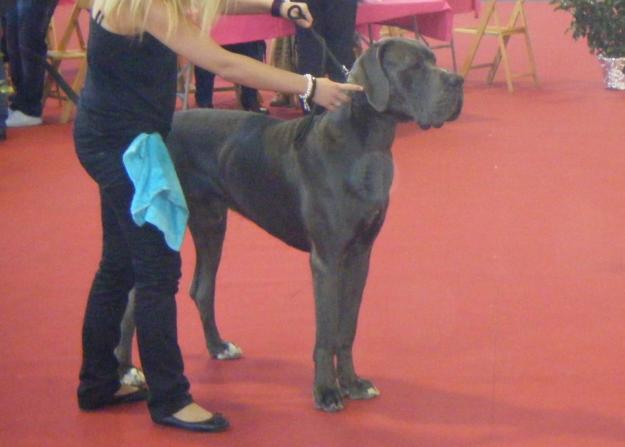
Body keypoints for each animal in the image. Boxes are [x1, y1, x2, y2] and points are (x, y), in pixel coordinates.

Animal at [114, 38, 460, 412]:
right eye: (413, 66)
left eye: (434, 59)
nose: (457, 81)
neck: (366, 143)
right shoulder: (326, 260)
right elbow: (326, 331)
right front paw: (326, 391)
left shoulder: (360, 255)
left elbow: (347, 327)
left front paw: (352, 383)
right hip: (163, 227)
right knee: (135, 297)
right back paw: (127, 369)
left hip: (211, 223)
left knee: (202, 288)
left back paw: (218, 347)